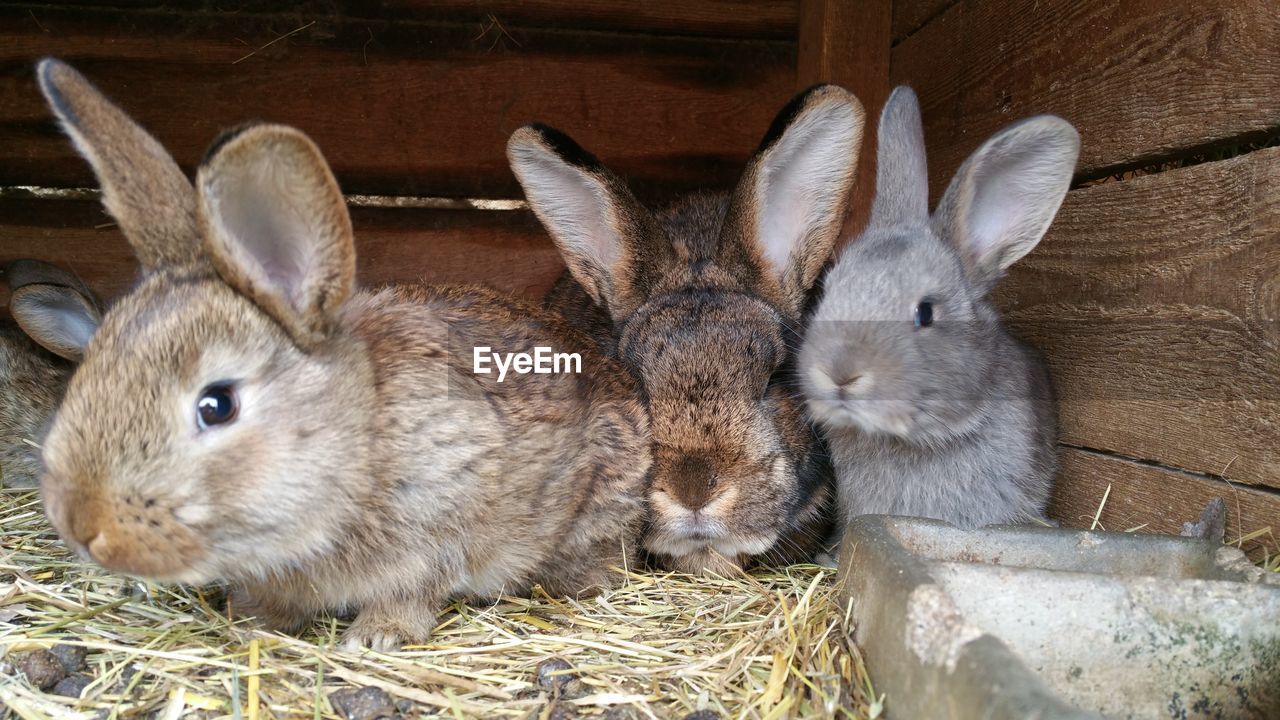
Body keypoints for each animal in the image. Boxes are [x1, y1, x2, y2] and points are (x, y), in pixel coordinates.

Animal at [35, 58, 655, 648]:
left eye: (217, 406)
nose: (80, 525)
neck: (357, 439)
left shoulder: (443, 517)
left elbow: (415, 588)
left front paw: (377, 635)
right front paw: (251, 623)